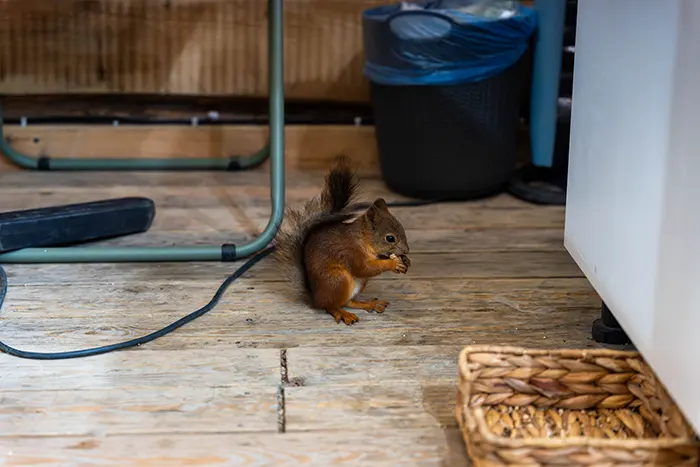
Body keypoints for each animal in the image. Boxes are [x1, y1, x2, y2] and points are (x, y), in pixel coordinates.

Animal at [273, 156, 411, 325]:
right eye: (390, 238)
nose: (406, 250)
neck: (362, 239)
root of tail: (315, 298)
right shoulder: (350, 252)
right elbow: (364, 268)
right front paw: (393, 264)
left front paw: (405, 261)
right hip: (337, 280)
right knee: (331, 306)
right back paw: (342, 313)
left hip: (357, 284)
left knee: (348, 302)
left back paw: (369, 304)